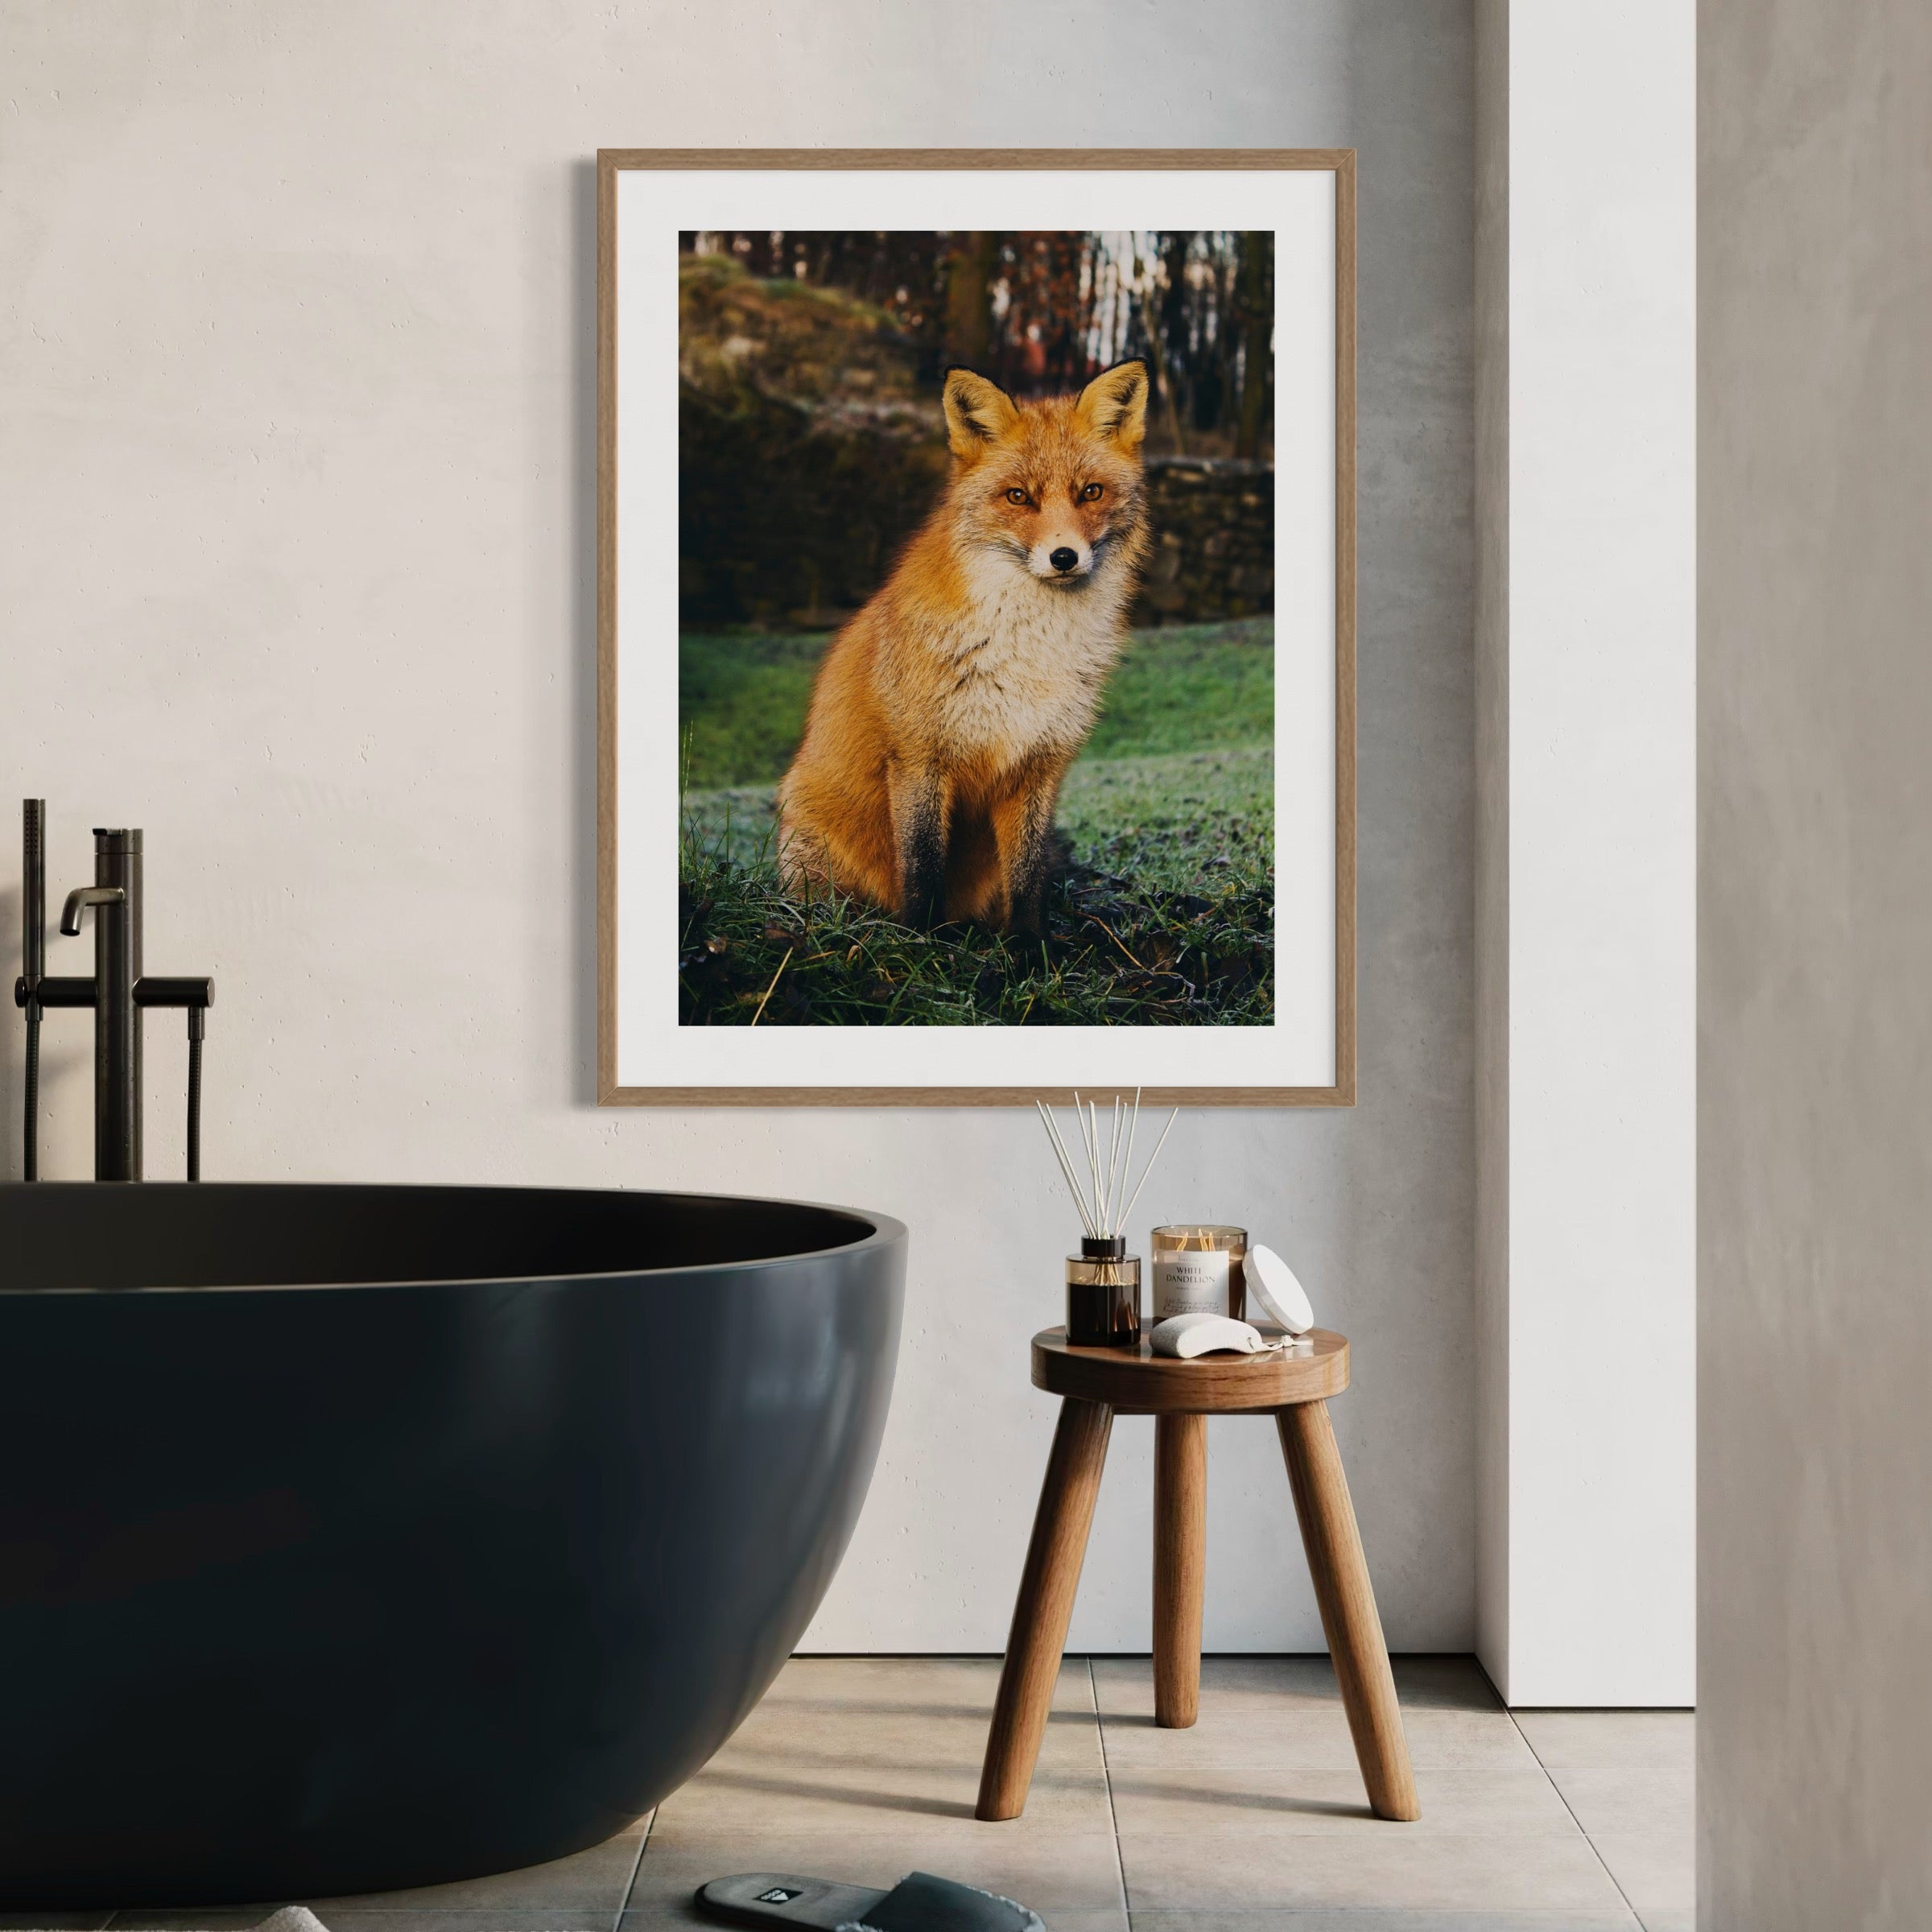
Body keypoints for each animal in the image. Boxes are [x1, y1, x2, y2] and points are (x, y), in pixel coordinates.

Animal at [775, 358, 1152, 935]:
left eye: (1091, 492)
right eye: (1018, 496)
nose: (1064, 557)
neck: (1029, 651)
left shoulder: (1039, 765)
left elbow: (1028, 878)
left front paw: (1030, 948)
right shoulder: (919, 757)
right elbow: (923, 866)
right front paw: (921, 942)